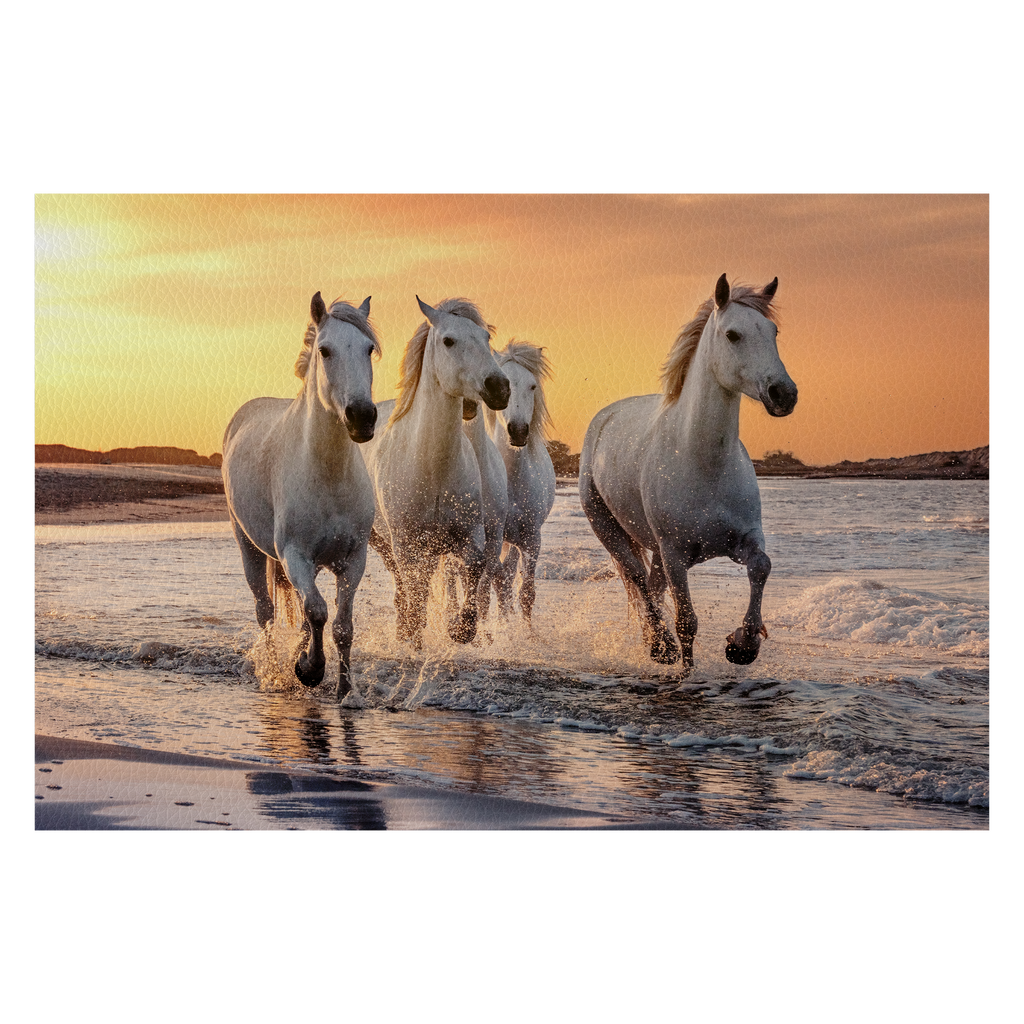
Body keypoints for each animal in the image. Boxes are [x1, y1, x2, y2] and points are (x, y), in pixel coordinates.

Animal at [223, 292, 380, 700]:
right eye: (325, 350)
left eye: (369, 349)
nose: (362, 416)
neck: (328, 475)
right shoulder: (294, 555)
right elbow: (319, 612)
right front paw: (309, 669)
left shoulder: (353, 560)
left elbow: (340, 626)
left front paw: (345, 691)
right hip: (249, 548)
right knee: (266, 612)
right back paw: (276, 672)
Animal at [364, 296, 516, 647]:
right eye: (448, 340)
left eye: (486, 337)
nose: (499, 387)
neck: (433, 469)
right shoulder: (407, 544)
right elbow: (415, 593)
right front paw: (413, 634)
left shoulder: (471, 536)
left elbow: (474, 572)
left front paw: (460, 629)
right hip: (383, 541)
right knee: (403, 586)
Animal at [483, 342, 557, 622]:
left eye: (533, 386)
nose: (518, 431)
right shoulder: (490, 539)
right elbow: (496, 585)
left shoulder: (531, 539)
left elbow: (525, 593)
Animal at [581, 274, 794, 671]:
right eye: (732, 334)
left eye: (773, 331)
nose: (784, 394)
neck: (704, 463)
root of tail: (604, 418)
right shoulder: (676, 554)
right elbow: (687, 623)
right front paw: (688, 669)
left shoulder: (743, 539)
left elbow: (762, 566)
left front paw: (742, 645)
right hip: (609, 528)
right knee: (637, 578)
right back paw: (660, 646)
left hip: (656, 551)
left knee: (651, 586)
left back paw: (654, 643)